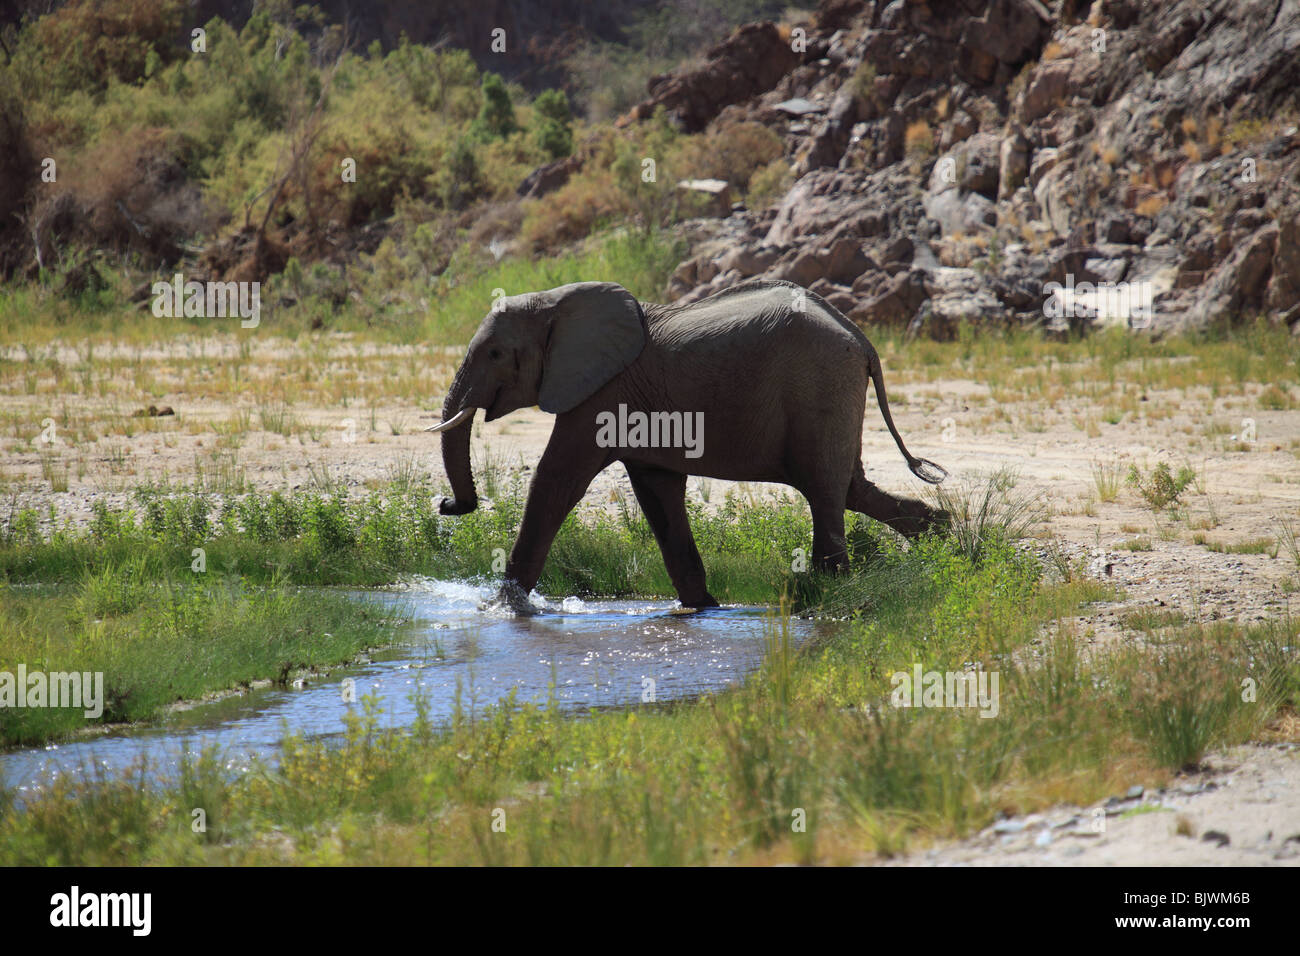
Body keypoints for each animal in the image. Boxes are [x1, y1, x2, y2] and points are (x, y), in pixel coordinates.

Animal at [426, 280, 946, 608]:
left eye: (496, 354)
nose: (447, 504)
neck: (556, 301)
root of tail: (863, 340)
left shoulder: (601, 391)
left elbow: (559, 478)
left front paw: (503, 608)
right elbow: (657, 491)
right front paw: (702, 608)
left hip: (820, 384)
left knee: (824, 490)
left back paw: (829, 592)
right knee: (850, 488)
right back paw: (947, 544)